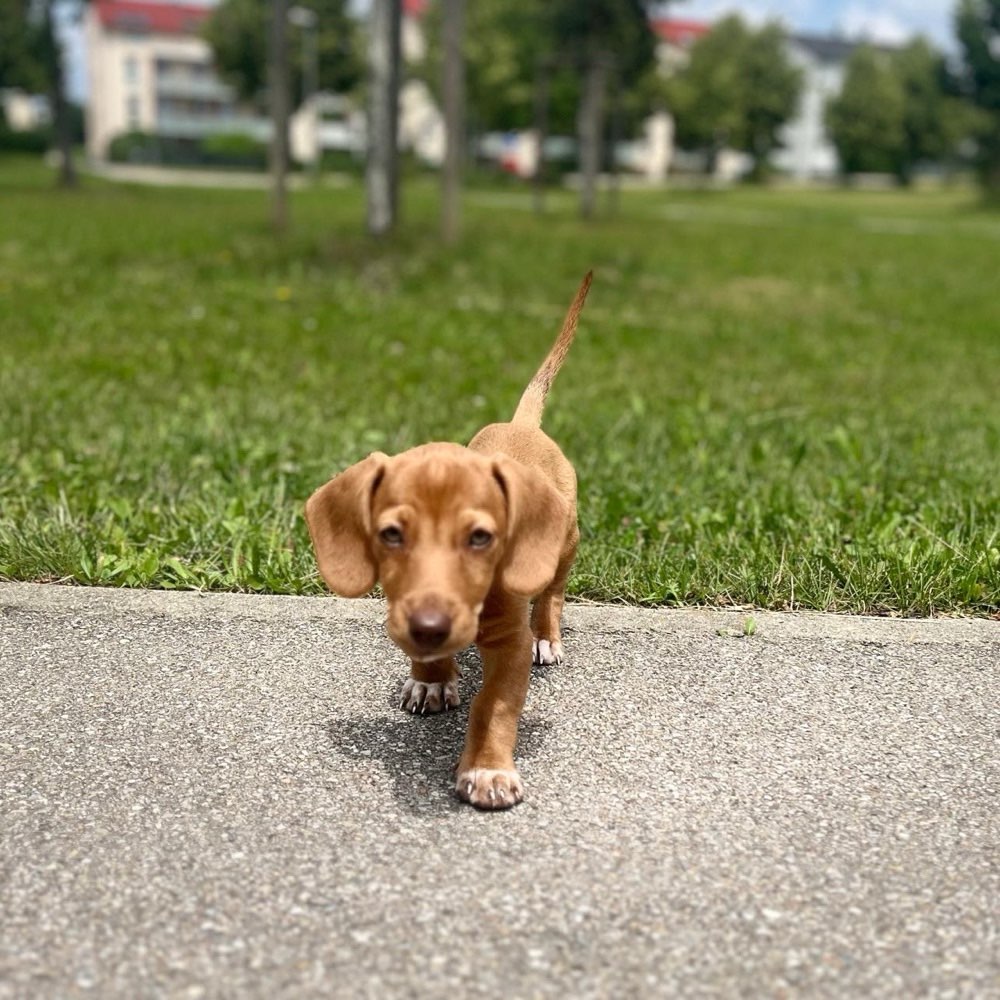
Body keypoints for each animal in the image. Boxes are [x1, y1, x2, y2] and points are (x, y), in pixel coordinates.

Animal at [300, 274, 588, 812]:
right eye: (391, 534)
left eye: (480, 538)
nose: (431, 626)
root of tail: (522, 425)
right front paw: (431, 679)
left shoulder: (509, 644)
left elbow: (493, 705)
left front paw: (487, 769)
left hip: (566, 540)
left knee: (553, 590)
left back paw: (548, 634)